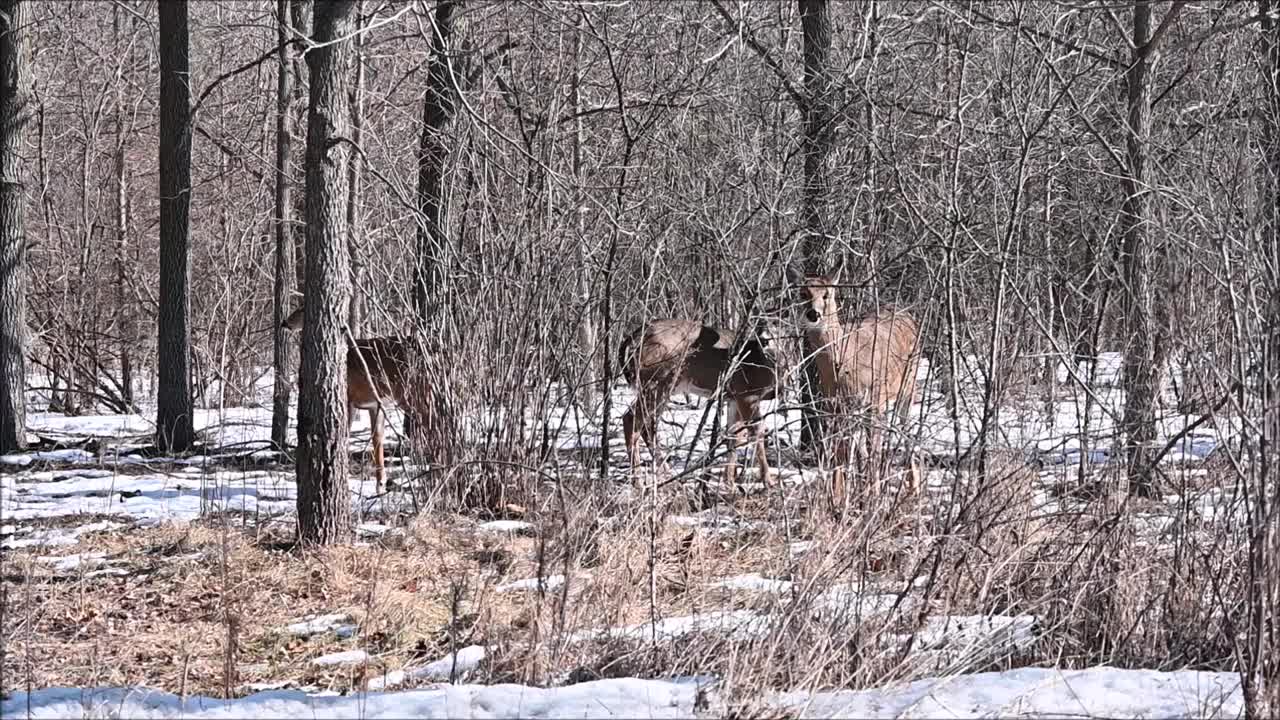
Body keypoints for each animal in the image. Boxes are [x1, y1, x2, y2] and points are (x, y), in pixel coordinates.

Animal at [281, 302, 450, 491]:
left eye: (303, 308)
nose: (285, 322)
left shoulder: (349, 397)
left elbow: (345, 434)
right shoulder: (375, 404)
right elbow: (377, 438)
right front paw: (380, 483)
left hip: (412, 392)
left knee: (436, 423)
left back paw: (438, 470)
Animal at [619, 316, 778, 484]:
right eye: (761, 322)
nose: (764, 339)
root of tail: (631, 338)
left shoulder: (734, 398)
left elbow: (734, 435)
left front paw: (728, 480)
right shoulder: (748, 394)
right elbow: (756, 431)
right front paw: (767, 480)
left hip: (661, 387)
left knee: (647, 425)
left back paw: (665, 472)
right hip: (657, 381)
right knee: (631, 418)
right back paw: (638, 480)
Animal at [783, 262, 926, 504]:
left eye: (826, 294)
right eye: (803, 293)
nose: (814, 314)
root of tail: (908, 315)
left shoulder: (874, 399)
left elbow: (873, 449)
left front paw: (873, 496)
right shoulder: (834, 405)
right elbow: (841, 451)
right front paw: (840, 498)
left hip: (908, 384)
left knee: (905, 431)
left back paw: (912, 488)